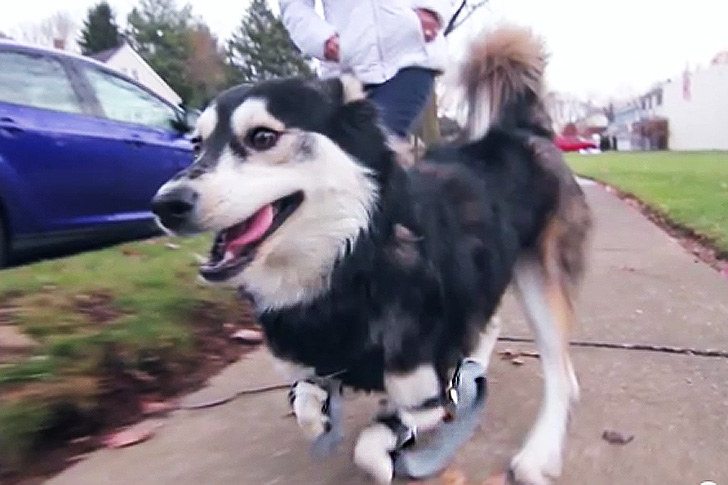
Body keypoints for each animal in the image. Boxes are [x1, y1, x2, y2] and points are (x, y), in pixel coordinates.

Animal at [152, 27, 592, 484]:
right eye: (197, 144)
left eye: (262, 137)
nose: (165, 204)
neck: (352, 262)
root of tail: (521, 131)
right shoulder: (315, 365)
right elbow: (306, 404)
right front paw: (323, 417)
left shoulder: (426, 388)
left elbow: (372, 443)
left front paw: (383, 458)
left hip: (542, 281)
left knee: (562, 375)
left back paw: (539, 452)